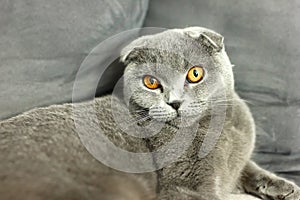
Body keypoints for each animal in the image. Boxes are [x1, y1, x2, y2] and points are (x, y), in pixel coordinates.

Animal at [0, 26, 300, 200]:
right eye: (151, 82)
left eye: (195, 73)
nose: (174, 102)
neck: (218, 127)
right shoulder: (185, 185)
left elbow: (250, 168)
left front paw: (285, 187)